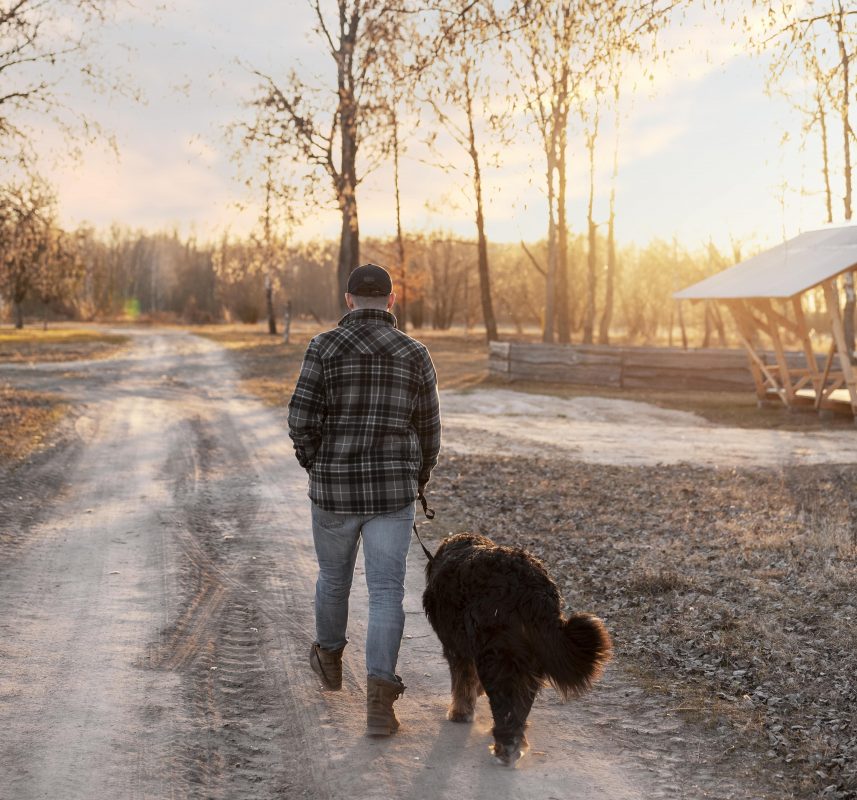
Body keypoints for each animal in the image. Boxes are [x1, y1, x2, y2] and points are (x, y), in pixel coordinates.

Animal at [420, 532, 608, 764]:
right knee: (520, 704)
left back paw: (506, 747)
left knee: (505, 706)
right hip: (531, 658)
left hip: (496, 657)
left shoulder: (456, 648)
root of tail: (532, 588)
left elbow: (462, 681)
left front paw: (460, 712)